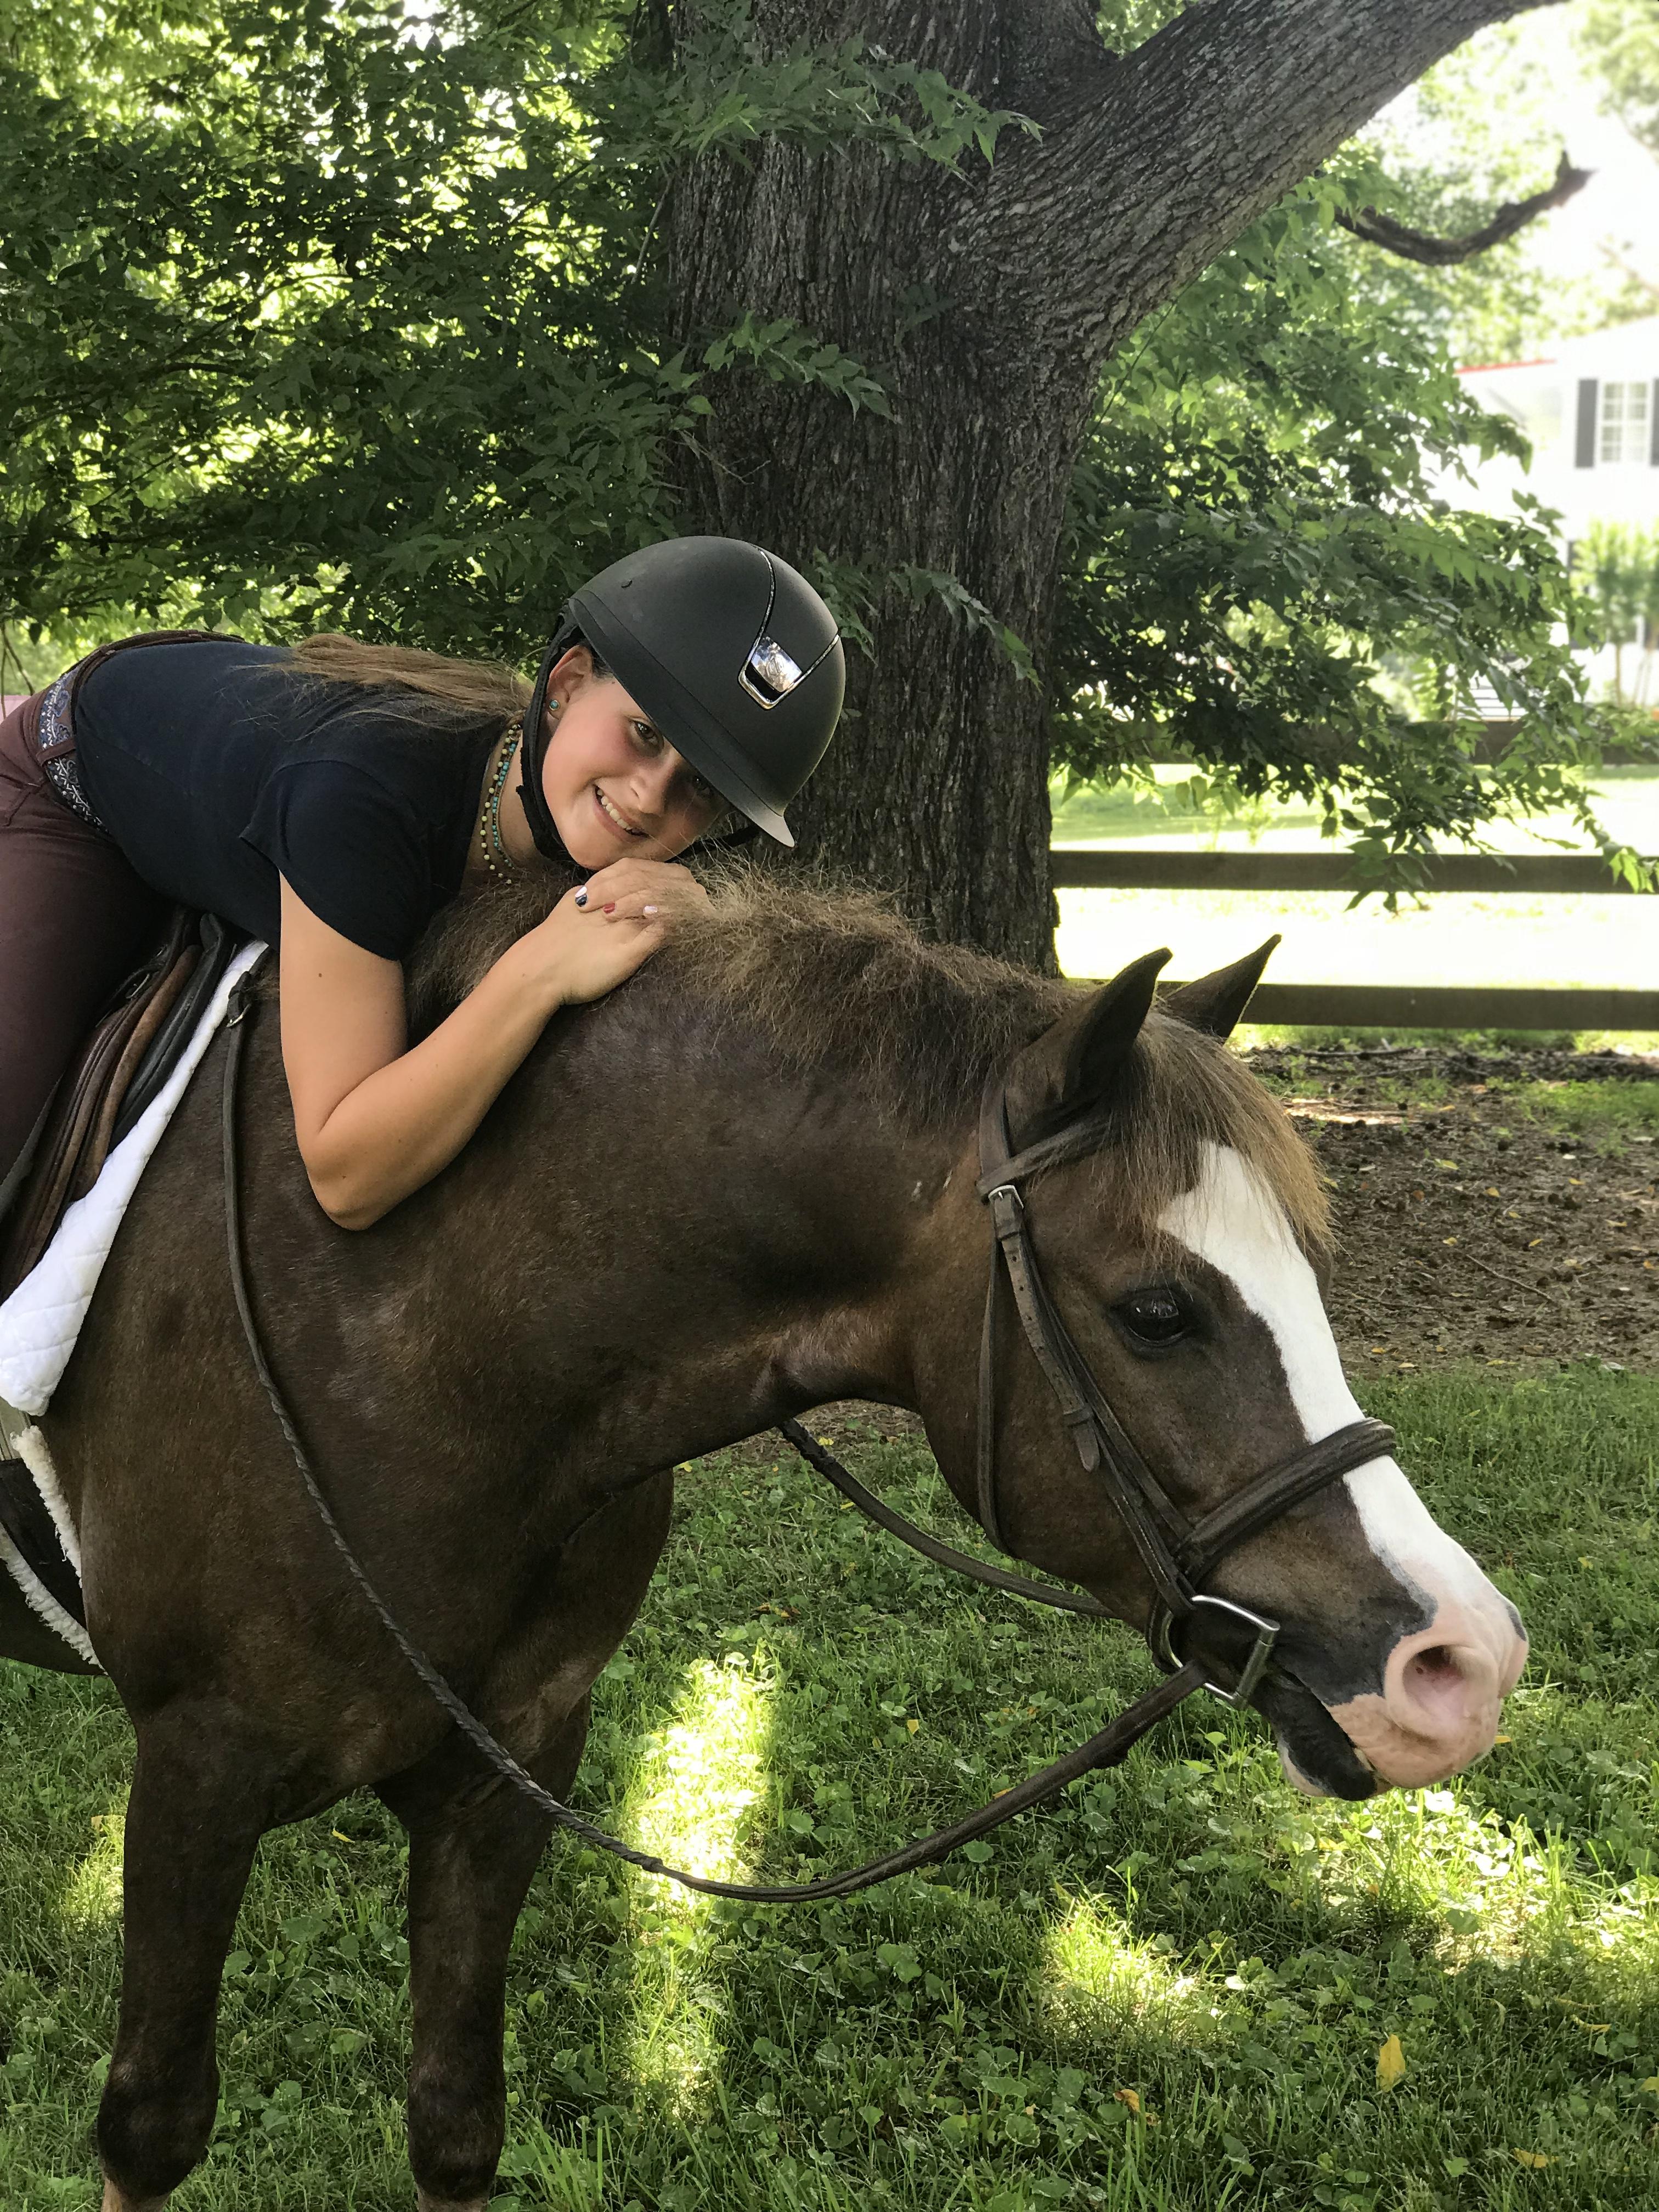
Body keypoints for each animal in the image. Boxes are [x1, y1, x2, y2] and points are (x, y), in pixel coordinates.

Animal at [0, 874, 1527, 2212]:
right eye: (1158, 1312)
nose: (1464, 1664)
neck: (417, 1319)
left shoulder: (508, 1770)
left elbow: (454, 2119)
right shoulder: (197, 1769)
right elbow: (152, 2122)